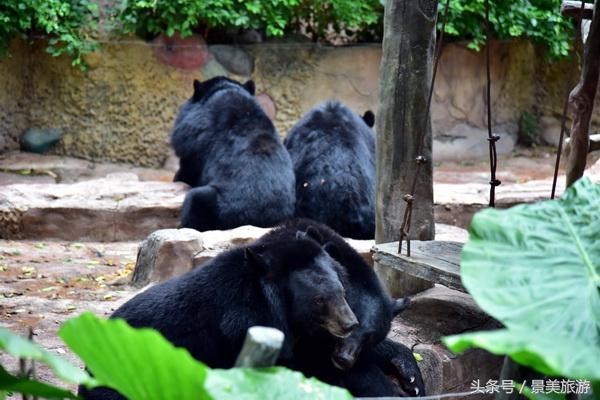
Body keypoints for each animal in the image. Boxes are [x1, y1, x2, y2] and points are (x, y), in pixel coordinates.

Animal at [171, 76, 296, 231]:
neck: (227, 89)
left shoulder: (198, 135)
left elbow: (190, 163)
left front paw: (178, 177)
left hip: (219, 204)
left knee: (195, 200)